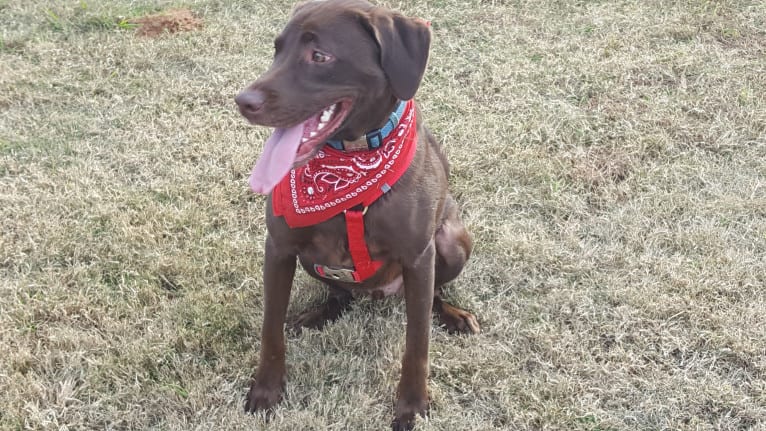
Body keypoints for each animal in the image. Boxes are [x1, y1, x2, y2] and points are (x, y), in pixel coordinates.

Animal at [234, 1, 480, 430]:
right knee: (340, 295)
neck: (349, 160)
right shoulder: (278, 248)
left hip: (450, 241)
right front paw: (266, 391)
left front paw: (412, 406)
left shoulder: (420, 256)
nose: (243, 100)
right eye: (277, 50)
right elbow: (270, 329)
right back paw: (315, 315)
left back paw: (454, 315)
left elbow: (417, 342)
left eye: (319, 56)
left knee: (433, 294)